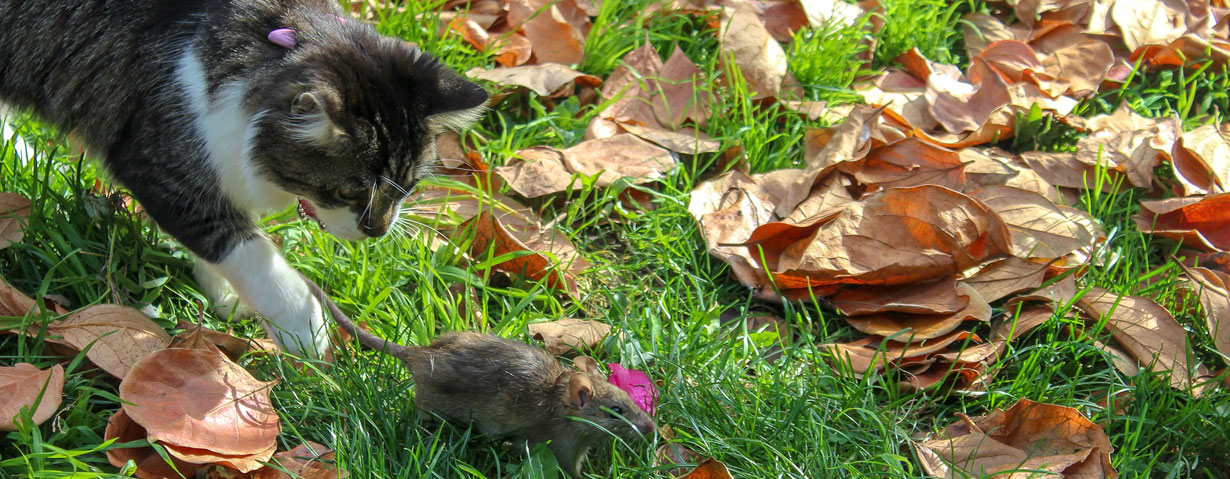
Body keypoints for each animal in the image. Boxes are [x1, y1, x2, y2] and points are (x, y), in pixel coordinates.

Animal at [0, 0, 487, 354]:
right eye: (349, 190)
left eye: (409, 187)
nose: (378, 230)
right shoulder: (160, 165)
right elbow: (248, 252)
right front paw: (303, 329)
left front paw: (225, 294)